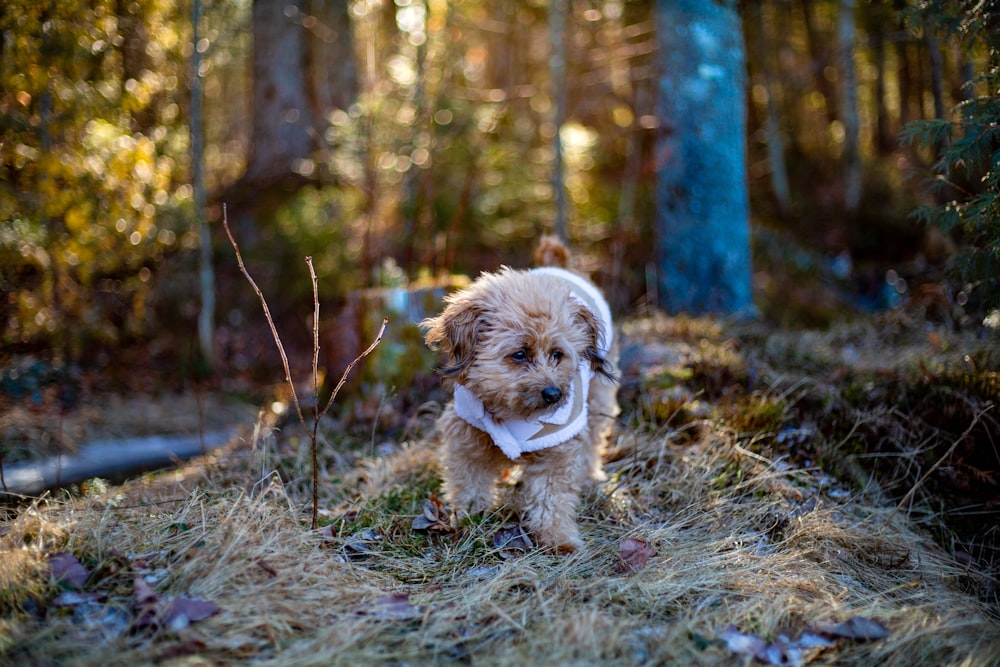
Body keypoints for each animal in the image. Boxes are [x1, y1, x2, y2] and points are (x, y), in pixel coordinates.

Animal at [422, 237, 616, 552]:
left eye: (557, 354)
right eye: (520, 354)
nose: (553, 394)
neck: (513, 413)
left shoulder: (557, 448)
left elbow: (552, 497)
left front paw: (559, 539)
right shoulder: (467, 435)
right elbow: (469, 481)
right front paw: (471, 516)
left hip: (599, 398)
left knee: (594, 441)